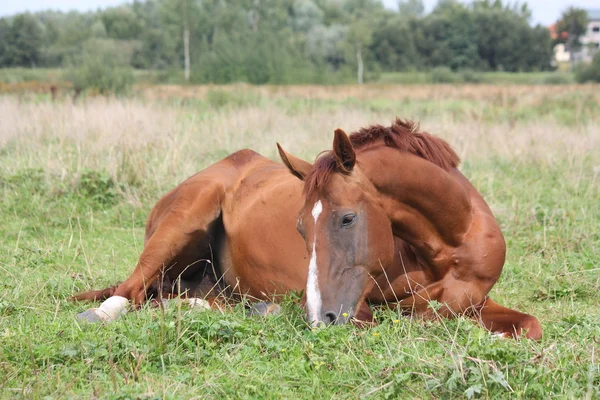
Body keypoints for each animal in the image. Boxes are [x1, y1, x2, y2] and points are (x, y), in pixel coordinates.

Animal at [72, 119, 540, 340]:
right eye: (299, 227)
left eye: (347, 218)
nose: (318, 317)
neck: (447, 248)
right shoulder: (364, 307)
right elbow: (407, 322)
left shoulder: (474, 302)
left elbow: (529, 324)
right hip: (179, 225)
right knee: (131, 291)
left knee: (173, 297)